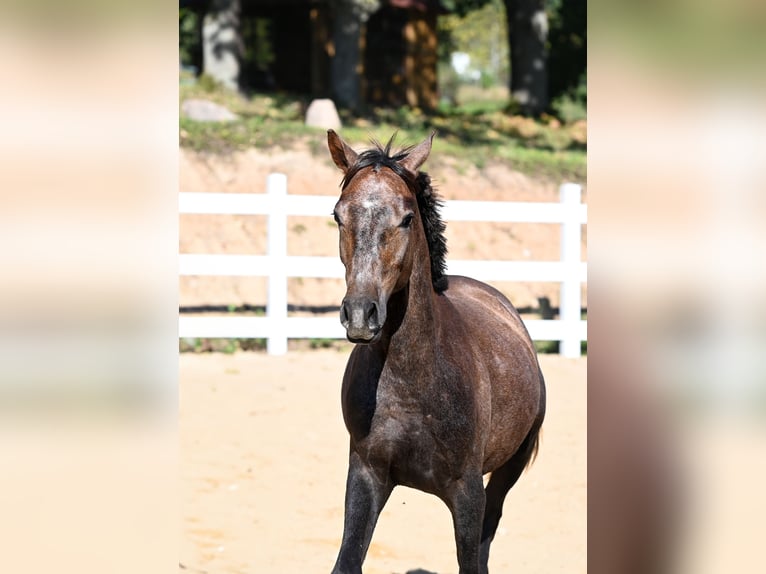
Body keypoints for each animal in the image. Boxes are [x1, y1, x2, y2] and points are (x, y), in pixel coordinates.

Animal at [328, 130, 548, 574]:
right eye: (338, 215)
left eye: (407, 218)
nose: (360, 314)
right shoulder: (366, 475)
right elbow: (347, 560)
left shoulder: (467, 493)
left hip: (508, 469)